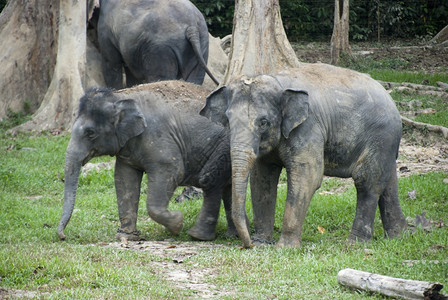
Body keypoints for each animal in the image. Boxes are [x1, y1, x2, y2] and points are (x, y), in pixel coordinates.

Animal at [56, 81, 234, 243]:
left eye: (90, 133)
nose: (63, 236)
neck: (120, 95)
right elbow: (124, 180)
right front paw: (127, 237)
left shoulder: (159, 139)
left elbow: (173, 171)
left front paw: (177, 223)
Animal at [201, 64, 408, 250]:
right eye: (228, 120)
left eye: (263, 122)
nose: (248, 244)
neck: (277, 81)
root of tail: (391, 100)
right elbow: (262, 179)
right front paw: (261, 243)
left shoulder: (308, 127)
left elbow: (308, 177)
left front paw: (284, 249)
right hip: (386, 143)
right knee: (388, 181)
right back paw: (398, 236)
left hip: (381, 136)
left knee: (367, 181)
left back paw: (354, 244)